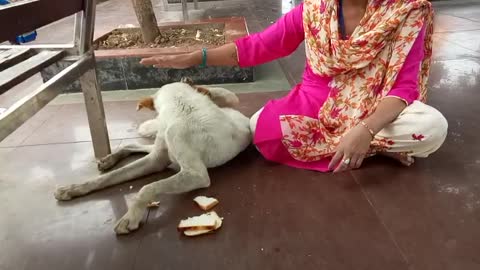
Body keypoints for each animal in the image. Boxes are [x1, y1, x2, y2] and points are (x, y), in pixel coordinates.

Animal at [54, 77, 251, 234]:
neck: (182, 105)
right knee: (133, 145)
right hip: (159, 148)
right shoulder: (156, 160)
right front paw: (74, 188)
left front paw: (131, 216)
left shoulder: (196, 175)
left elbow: (147, 188)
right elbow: (109, 177)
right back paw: (109, 159)